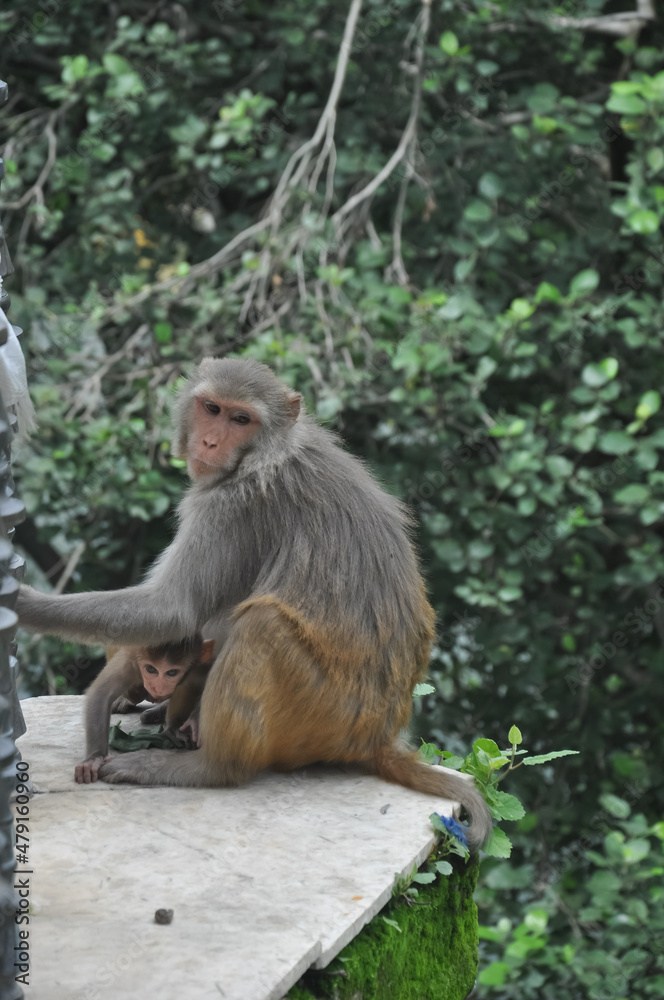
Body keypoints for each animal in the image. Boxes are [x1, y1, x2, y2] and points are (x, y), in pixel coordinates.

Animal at [76, 636, 215, 784]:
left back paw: (172, 726)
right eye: (151, 669)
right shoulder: (130, 661)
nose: (158, 688)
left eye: (172, 672)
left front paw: (194, 721)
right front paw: (94, 758)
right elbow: (101, 693)